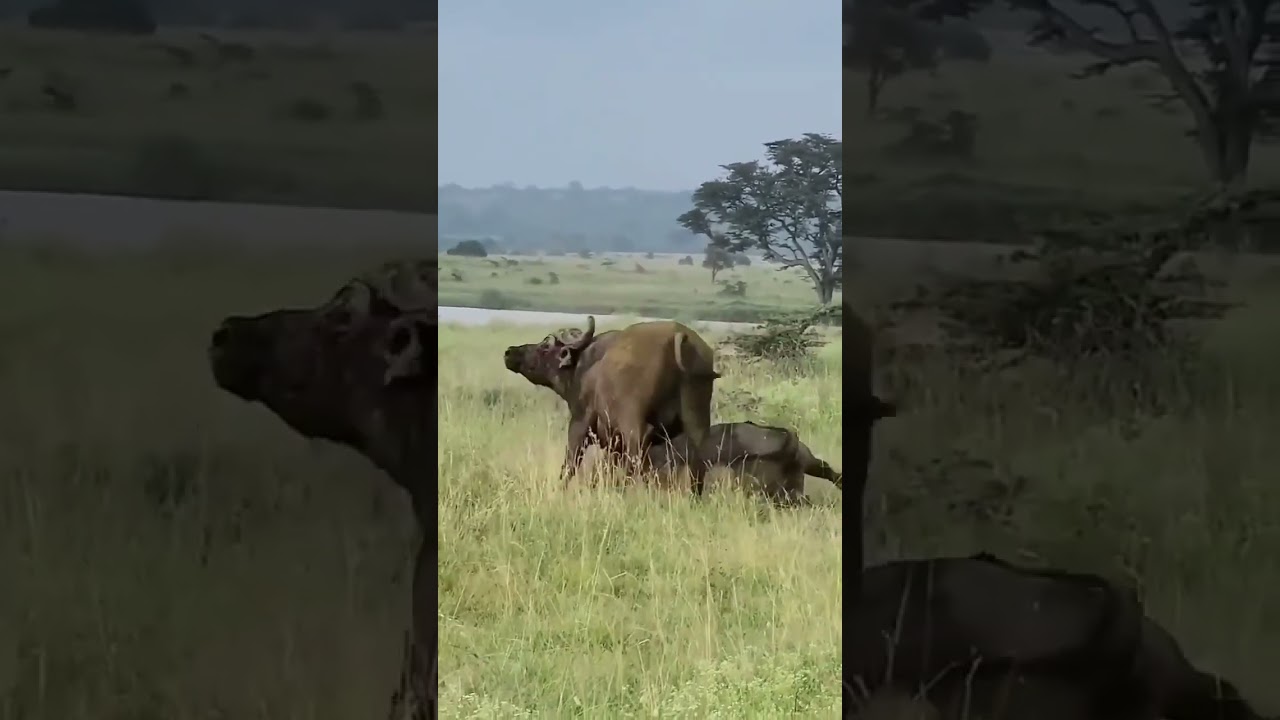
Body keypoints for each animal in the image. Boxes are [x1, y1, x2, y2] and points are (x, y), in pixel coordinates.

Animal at [503, 316, 720, 493]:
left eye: (545, 348)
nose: (509, 352)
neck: (585, 366)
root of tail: (677, 335)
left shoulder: (580, 423)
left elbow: (570, 464)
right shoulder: (614, 445)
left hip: (633, 424)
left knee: (637, 460)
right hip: (697, 422)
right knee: (697, 464)